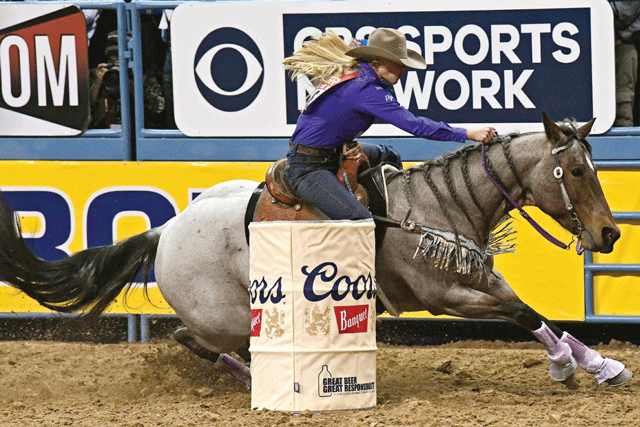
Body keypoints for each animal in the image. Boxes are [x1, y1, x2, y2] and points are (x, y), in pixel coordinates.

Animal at [0, 113, 631, 390]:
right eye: (576, 170)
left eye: (593, 166)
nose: (609, 235)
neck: (433, 205)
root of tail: (167, 231)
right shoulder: (446, 294)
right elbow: (523, 312)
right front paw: (567, 364)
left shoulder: (477, 280)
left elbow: (530, 310)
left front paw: (600, 364)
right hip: (225, 315)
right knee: (192, 339)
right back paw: (258, 380)